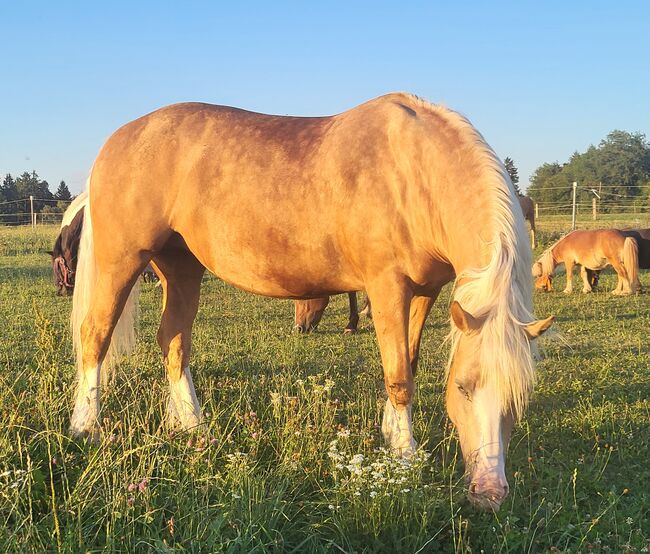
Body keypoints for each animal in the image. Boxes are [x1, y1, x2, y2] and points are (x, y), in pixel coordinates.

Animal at [69, 93, 553, 511]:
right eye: (463, 388)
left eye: (520, 398)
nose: (489, 493)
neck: (415, 171)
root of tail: (120, 138)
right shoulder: (387, 287)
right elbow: (399, 376)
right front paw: (404, 457)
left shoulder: (425, 291)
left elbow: (410, 363)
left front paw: (391, 435)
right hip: (121, 261)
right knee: (95, 336)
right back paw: (85, 427)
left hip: (182, 267)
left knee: (173, 341)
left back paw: (194, 426)